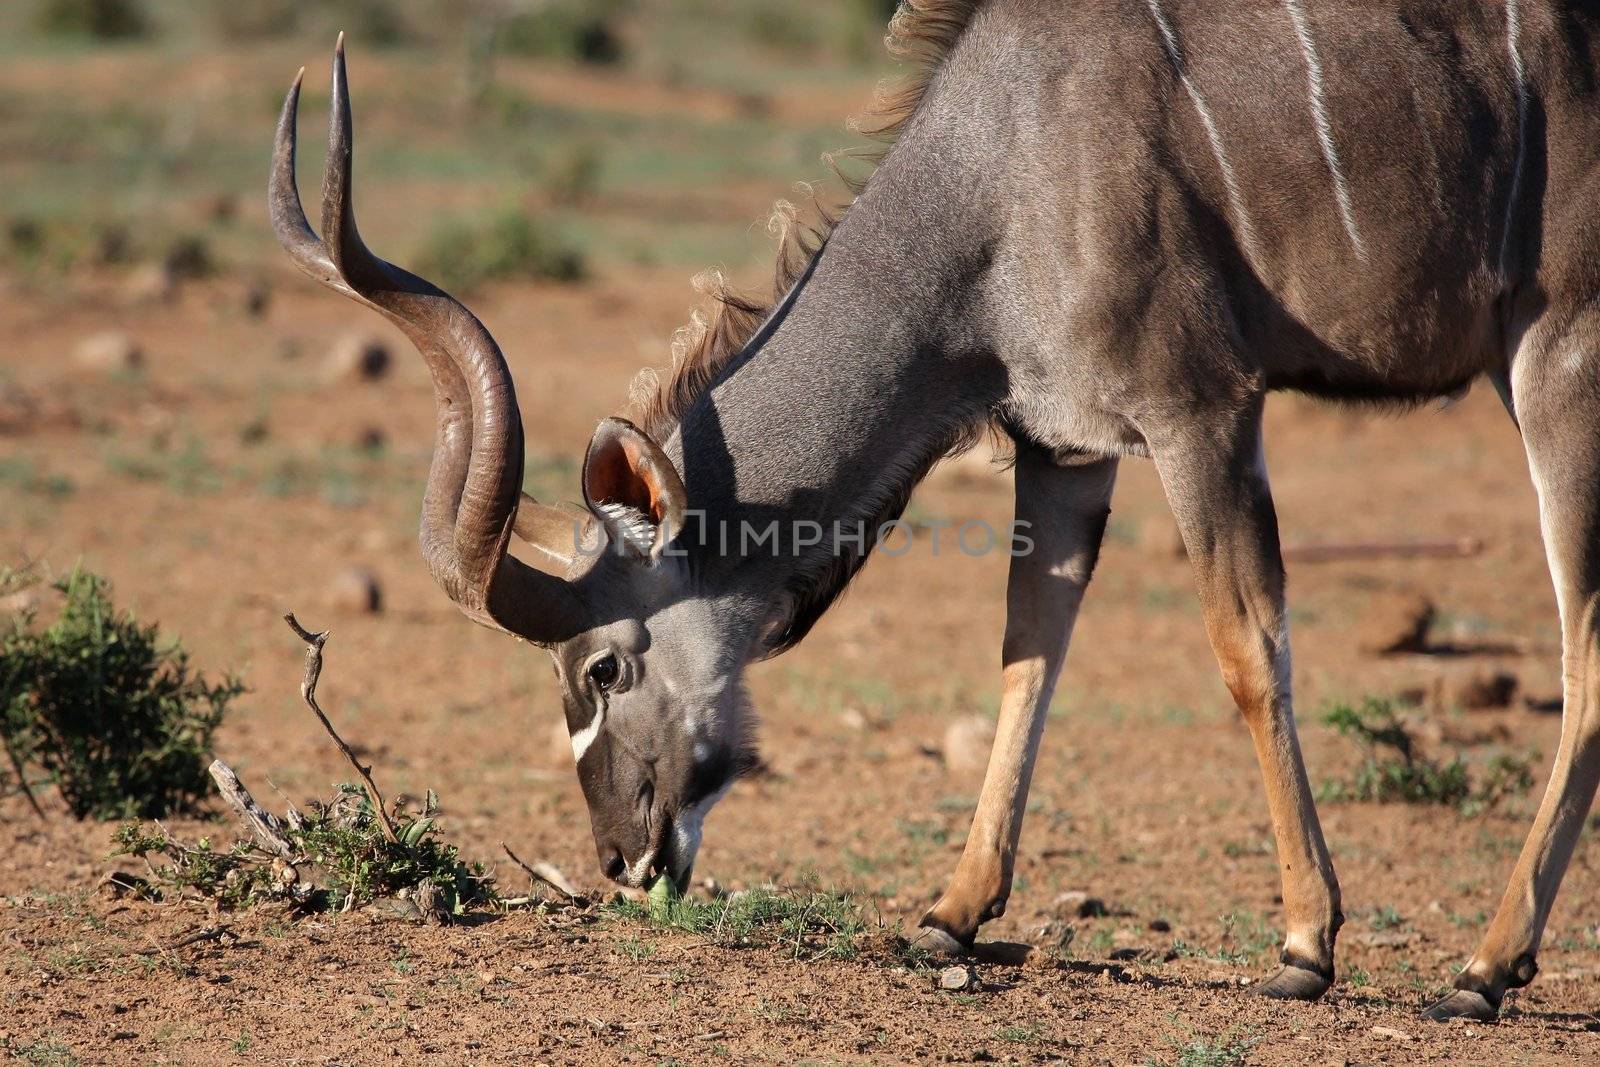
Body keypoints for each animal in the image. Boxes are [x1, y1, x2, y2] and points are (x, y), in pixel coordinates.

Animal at [275, 4, 1600, 1023]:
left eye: (602, 667)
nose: (621, 857)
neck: (998, 175)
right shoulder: (1064, 446)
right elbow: (1028, 649)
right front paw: (951, 914)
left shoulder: (1202, 411)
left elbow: (1246, 649)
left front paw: (1304, 943)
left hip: (1555, 360)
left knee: (1583, 642)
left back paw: (1483, 968)